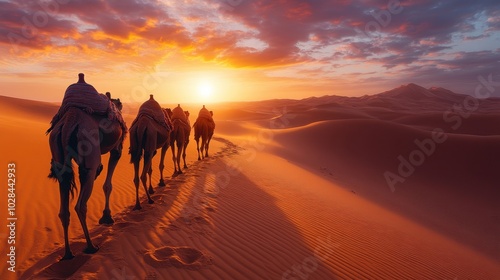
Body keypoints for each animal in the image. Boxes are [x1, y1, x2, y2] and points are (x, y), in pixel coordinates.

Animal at [47, 74, 127, 260]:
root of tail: (68, 123)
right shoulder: (117, 148)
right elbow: (108, 184)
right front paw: (107, 217)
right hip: (88, 148)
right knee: (80, 203)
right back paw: (91, 246)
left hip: (58, 154)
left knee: (64, 208)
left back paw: (68, 253)